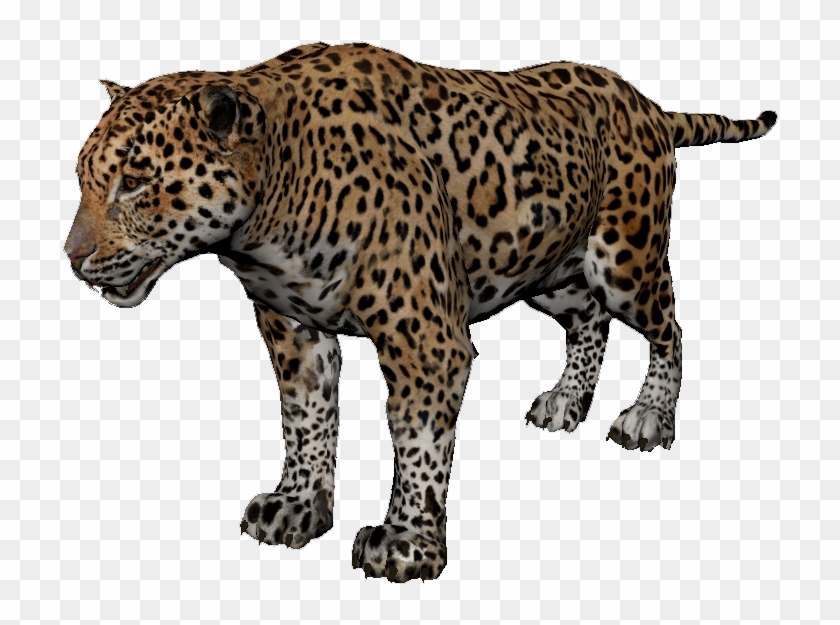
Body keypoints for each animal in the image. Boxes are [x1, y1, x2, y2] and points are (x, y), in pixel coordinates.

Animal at [65, 41, 777, 583]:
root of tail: (646, 103)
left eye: (136, 182)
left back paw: (649, 417)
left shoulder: (425, 338)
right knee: (588, 319)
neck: (274, 199)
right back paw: (564, 403)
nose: (73, 257)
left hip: (625, 258)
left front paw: (406, 543)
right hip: (545, 267)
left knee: (669, 325)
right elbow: (306, 418)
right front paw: (297, 506)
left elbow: (417, 439)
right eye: (82, 177)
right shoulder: (294, 328)